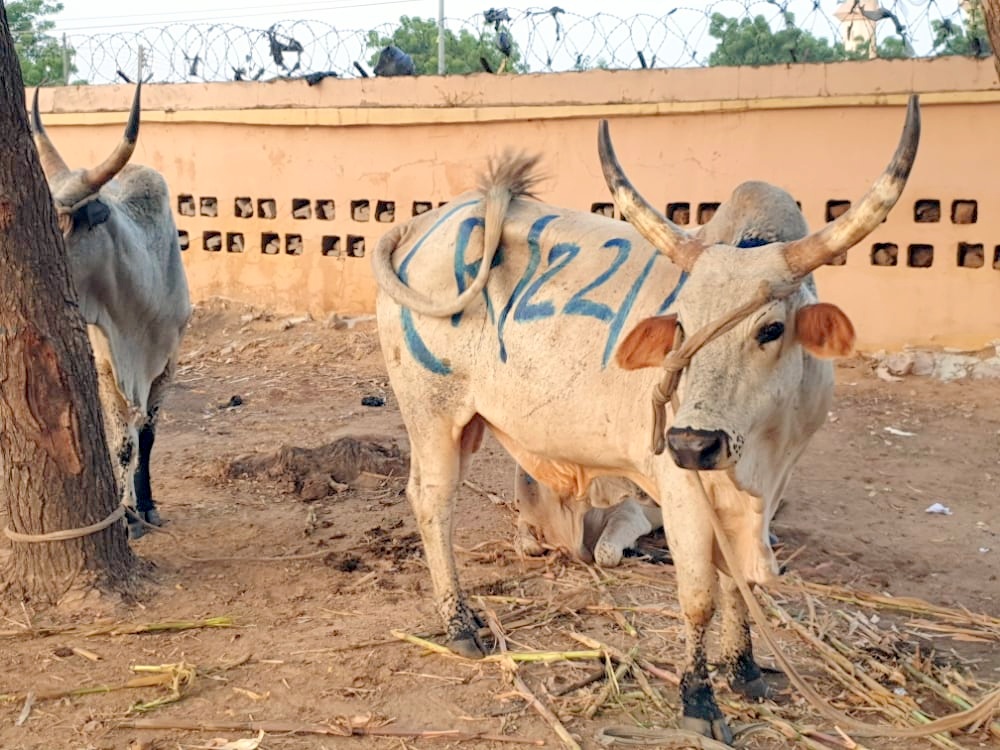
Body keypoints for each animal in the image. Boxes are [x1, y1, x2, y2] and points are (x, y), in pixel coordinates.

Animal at [31, 84, 192, 540]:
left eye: (59, 226)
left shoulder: (166, 365)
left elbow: (147, 437)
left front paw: (147, 505)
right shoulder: (107, 365)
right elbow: (122, 444)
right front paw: (125, 515)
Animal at [372, 97, 919, 742]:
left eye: (770, 328)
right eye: (680, 325)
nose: (693, 441)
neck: (758, 453)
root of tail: (425, 224)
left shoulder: (761, 486)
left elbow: (738, 583)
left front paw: (745, 671)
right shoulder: (682, 489)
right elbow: (700, 594)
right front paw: (699, 700)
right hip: (433, 415)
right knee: (432, 502)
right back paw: (460, 624)